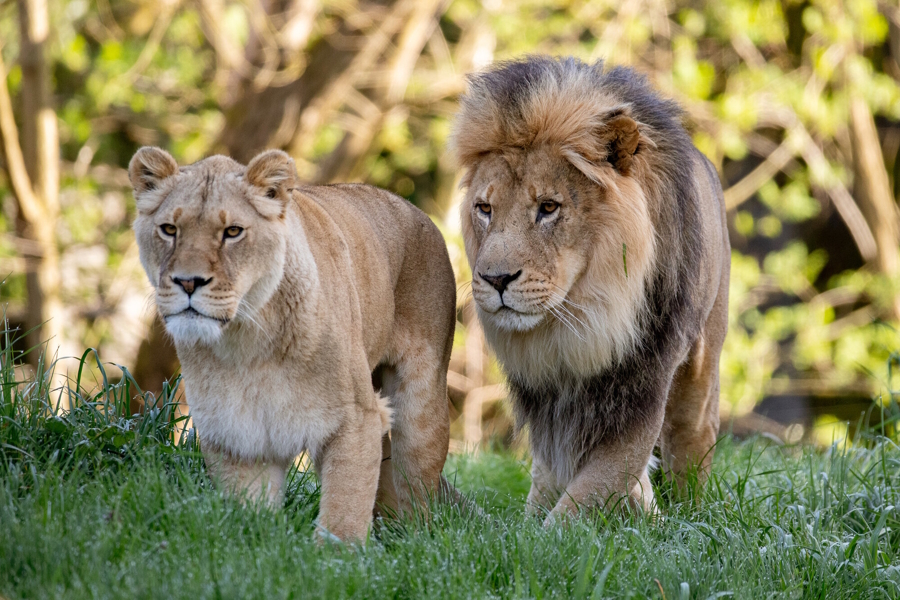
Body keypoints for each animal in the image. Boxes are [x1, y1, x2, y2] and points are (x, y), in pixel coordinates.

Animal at [129, 147, 457, 542]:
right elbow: (251, 514)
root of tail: (417, 210)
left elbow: (344, 511)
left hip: (421, 409)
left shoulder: (357, 419)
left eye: (232, 232)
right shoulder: (235, 433)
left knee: (417, 493)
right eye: (169, 229)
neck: (247, 340)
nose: (187, 282)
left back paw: (411, 539)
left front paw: (337, 554)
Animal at [452, 56, 730, 520]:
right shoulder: (547, 401)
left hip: (702, 364)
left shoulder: (644, 382)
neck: (582, 319)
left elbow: (592, 488)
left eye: (548, 207)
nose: (496, 280)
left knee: (693, 440)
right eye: (484, 209)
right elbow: (557, 477)